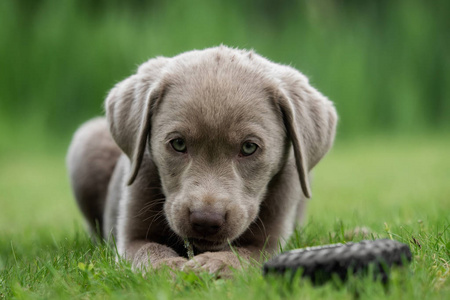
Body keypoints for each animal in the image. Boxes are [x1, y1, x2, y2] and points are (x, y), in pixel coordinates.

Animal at [65, 46, 336, 274]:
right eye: (178, 144)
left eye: (249, 147)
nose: (206, 221)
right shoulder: (132, 233)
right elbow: (147, 250)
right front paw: (168, 268)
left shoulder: (271, 239)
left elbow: (247, 254)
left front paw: (213, 265)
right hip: (87, 144)